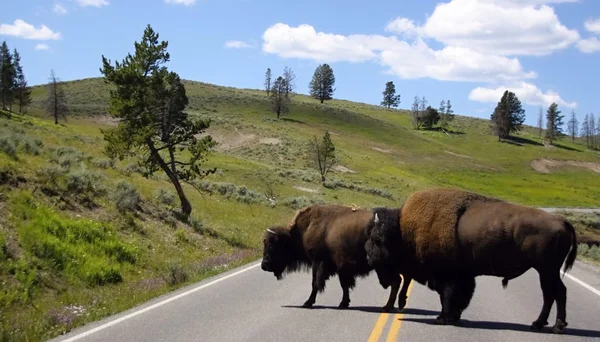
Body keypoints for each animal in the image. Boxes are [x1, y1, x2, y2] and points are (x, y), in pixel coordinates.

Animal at [260, 203, 410, 312]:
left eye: (272, 246)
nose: (263, 265)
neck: (307, 228)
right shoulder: (341, 268)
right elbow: (344, 285)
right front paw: (344, 303)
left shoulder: (318, 262)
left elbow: (315, 283)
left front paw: (307, 303)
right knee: (404, 279)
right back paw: (399, 303)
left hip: (385, 266)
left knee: (397, 281)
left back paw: (388, 306)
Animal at [364, 187, 580, 334]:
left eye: (377, 240)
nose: (367, 255)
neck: (403, 231)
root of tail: (563, 221)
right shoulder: (463, 276)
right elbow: (460, 296)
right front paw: (453, 316)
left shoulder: (446, 276)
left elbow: (448, 296)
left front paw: (442, 318)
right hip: (546, 271)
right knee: (551, 293)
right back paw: (539, 324)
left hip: (546, 270)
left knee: (557, 292)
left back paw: (555, 326)